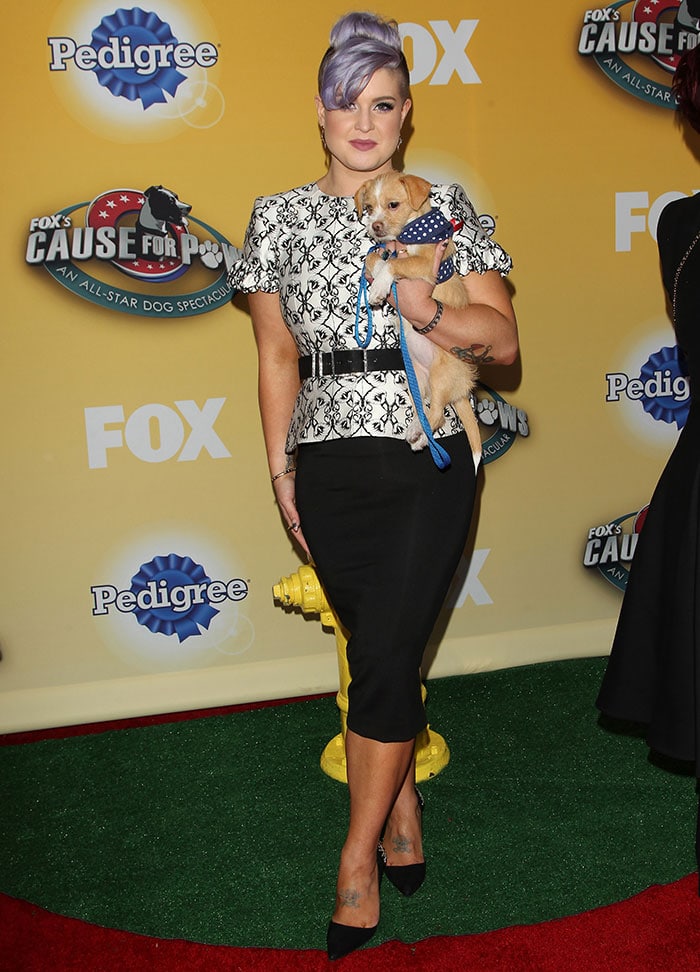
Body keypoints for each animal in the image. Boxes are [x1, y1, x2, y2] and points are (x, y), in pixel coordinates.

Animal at [356, 175, 482, 470]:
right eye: (368, 208)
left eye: (393, 205)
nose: (375, 227)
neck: (410, 233)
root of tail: (462, 388)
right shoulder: (386, 250)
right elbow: (373, 256)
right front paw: (376, 274)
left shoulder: (425, 264)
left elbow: (394, 265)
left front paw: (379, 286)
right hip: (415, 378)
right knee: (426, 412)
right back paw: (418, 434)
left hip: (439, 375)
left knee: (437, 414)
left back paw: (420, 436)